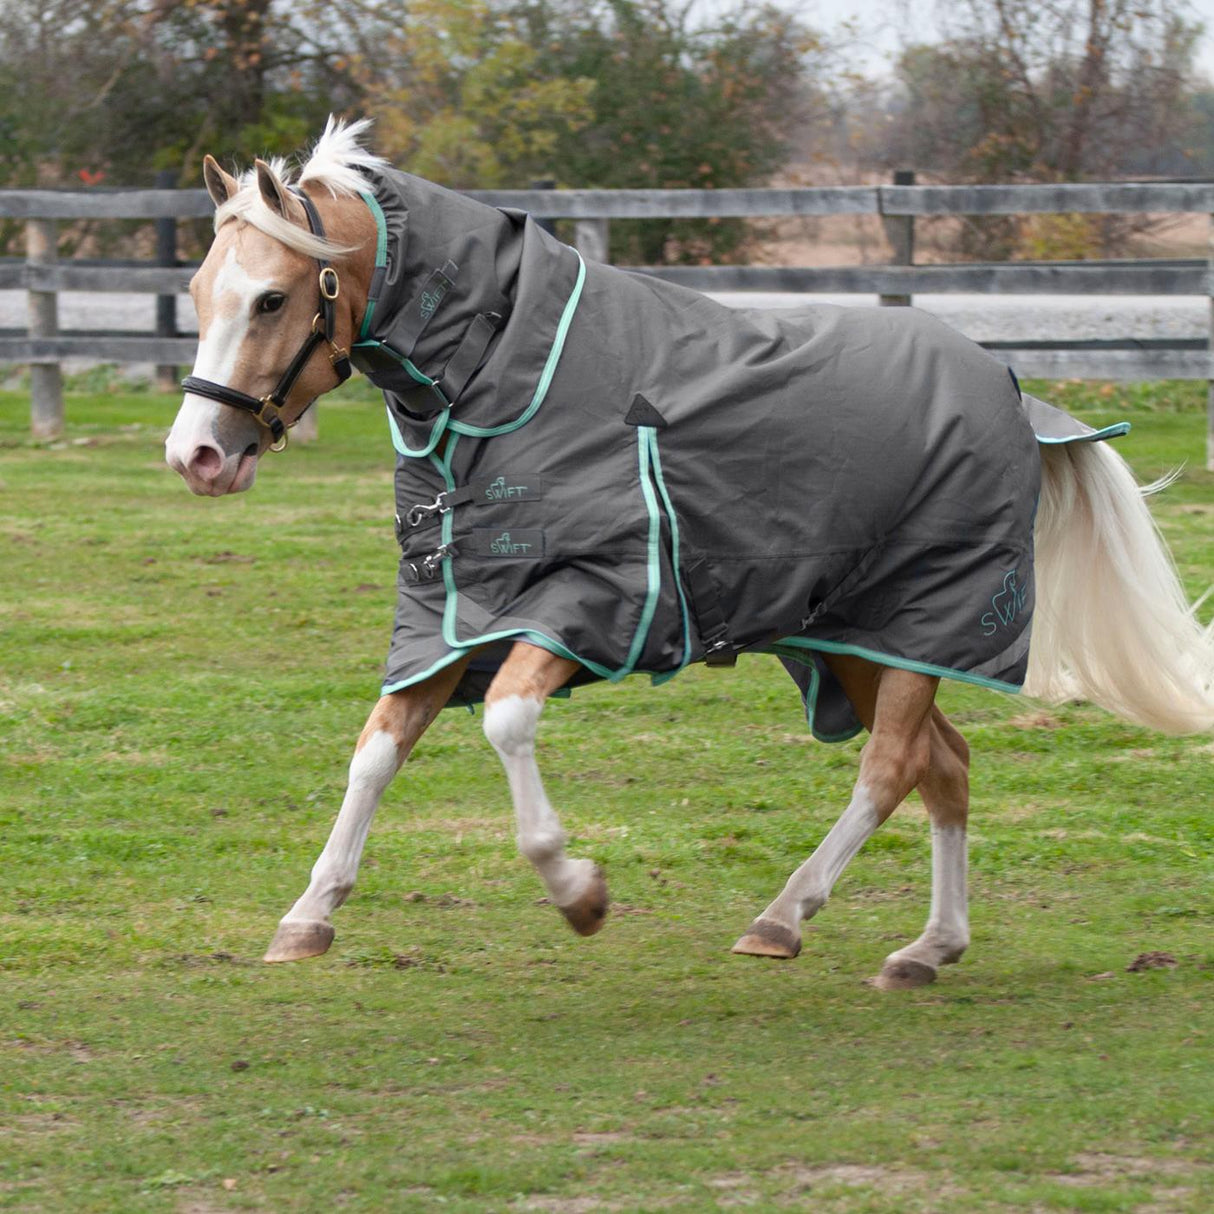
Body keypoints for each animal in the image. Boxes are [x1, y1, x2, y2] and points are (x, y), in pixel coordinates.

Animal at [165, 119, 1214, 988]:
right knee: (942, 765)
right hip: (856, 638)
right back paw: (927, 948)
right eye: (199, 294)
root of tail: (1011, 389)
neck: (504, 384)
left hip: (923, 623)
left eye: (271, 298)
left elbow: (505, 722)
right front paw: (308, 917)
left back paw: (785, 916)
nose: (197, 456)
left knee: (890, 769)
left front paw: (579, 892)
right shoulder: (448, 617)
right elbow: (374, 754)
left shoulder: (588, 602)